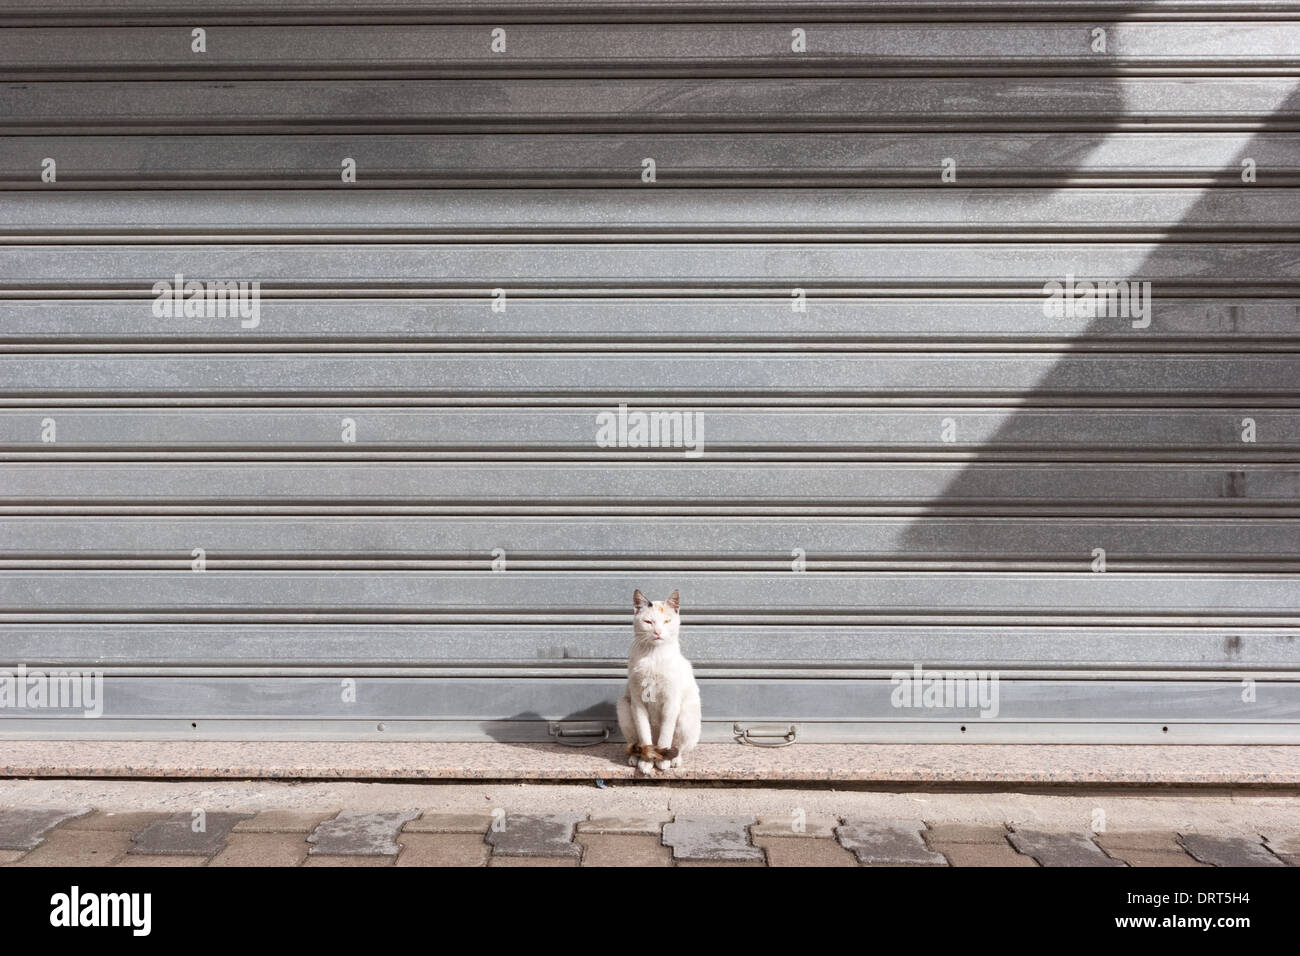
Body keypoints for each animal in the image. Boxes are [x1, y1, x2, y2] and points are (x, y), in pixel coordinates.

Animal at [616, 587, 702, 775]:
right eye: (648, 621)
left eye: (667, 621)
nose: (657, 632)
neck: (654, 656)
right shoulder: (637, 702)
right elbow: (644, 735)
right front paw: (647, 761)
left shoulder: (671, 702)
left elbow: (666, 735)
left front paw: (663, 761)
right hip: (624, 707)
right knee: (637, 742)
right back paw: (636, 757)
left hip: (686, 716)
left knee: (679, 745)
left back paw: (673, 759)